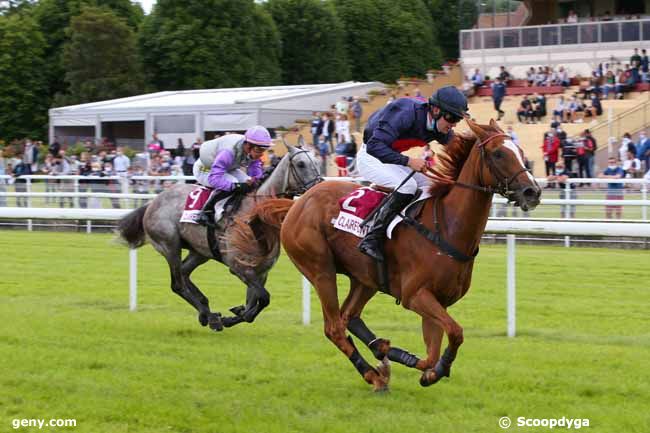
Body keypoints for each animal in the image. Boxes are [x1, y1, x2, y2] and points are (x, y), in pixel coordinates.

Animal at [117, 145, 322, 330]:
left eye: (316, 161)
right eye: (301, 164)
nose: (318, 187)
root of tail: (152, 203)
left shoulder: (260, 271)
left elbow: (253, 306)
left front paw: (235, 313)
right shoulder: (239, 267)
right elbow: (264, 298)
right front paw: (228, 318)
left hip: (200, 252)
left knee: (184, 273)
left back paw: (206, 310)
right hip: (169, 245)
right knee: (177, 284)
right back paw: (209, 315)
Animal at [230, 119, 540, 392]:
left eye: (519, 151)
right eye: (499, 153)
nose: (532, 191)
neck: (446, 227)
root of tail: (296, 203)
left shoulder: (437, 301)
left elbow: (433, 350)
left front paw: (415, 364)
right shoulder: (416, 295)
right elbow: (455, 333)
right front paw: (432, 368)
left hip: (365, 277)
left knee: (349, 316)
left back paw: (380, 356)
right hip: (320, 270)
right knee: (334, 327)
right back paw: (372, 374)